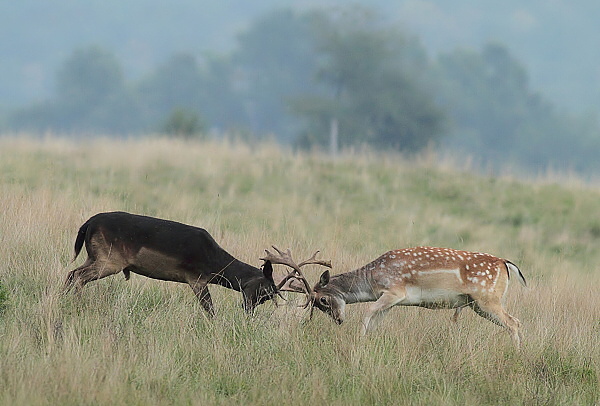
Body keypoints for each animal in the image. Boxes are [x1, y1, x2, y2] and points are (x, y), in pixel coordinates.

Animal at [274, 246, 528, 348]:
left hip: (487, 299)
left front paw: (360, 340)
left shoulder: (395, 291)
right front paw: (368, 340)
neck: (372, 279)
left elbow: (367, 313)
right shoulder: (391, 301)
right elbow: (376, 321)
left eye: (323, 300)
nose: (338, 320)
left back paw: (516, 353)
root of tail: (506, 264)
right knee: (515, 322)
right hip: (478, 304)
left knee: (514, 322)